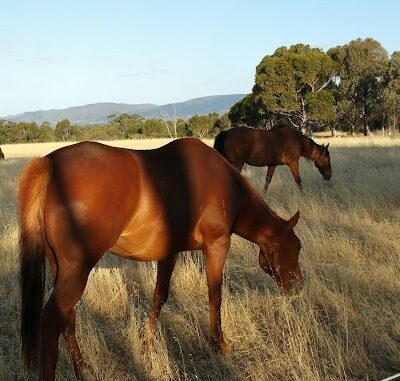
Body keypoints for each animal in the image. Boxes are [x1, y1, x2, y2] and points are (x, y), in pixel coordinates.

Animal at [17, 138, 302, 378]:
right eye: (298, 247)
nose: (297, 287)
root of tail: (50, 163)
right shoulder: (217, 244)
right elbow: (215, 295)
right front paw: (219, 344)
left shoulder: (169, 253)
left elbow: (159, 297)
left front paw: (148, 346)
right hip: (77, 271)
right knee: (50, 323)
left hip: (61, 269)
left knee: (67, 317)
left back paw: (82, 369)